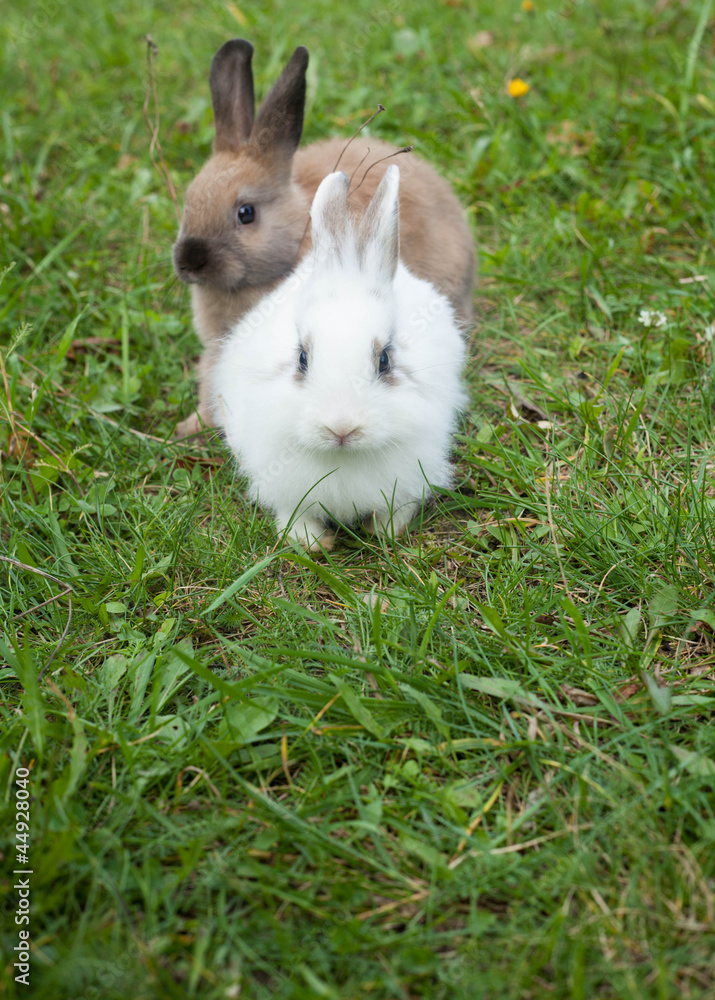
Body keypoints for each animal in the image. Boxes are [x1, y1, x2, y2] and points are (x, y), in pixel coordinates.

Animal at [212, 165, 468, 552]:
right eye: (302, 358)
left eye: (384, 360)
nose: (342, 428)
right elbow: (294, 513)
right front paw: (311, 543)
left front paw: (386, 532)